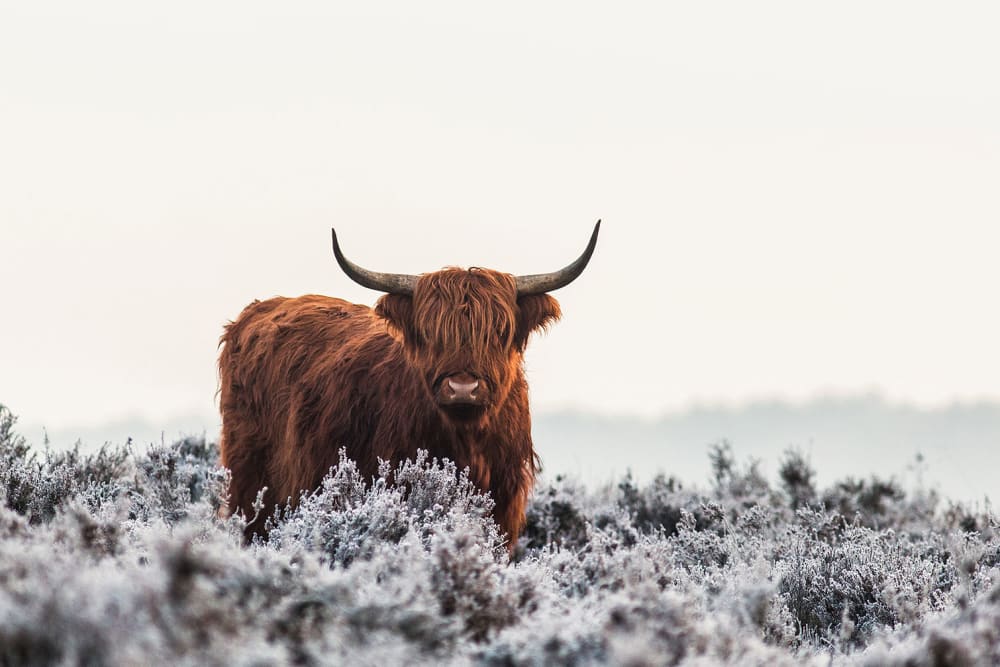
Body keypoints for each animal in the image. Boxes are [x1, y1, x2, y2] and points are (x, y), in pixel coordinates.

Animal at [218, 222, 600, 548]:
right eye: (431, 332)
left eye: (499, 331)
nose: (462, 387)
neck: (466, 439)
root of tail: (257, 311)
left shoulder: (504, 504)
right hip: (250, 479)